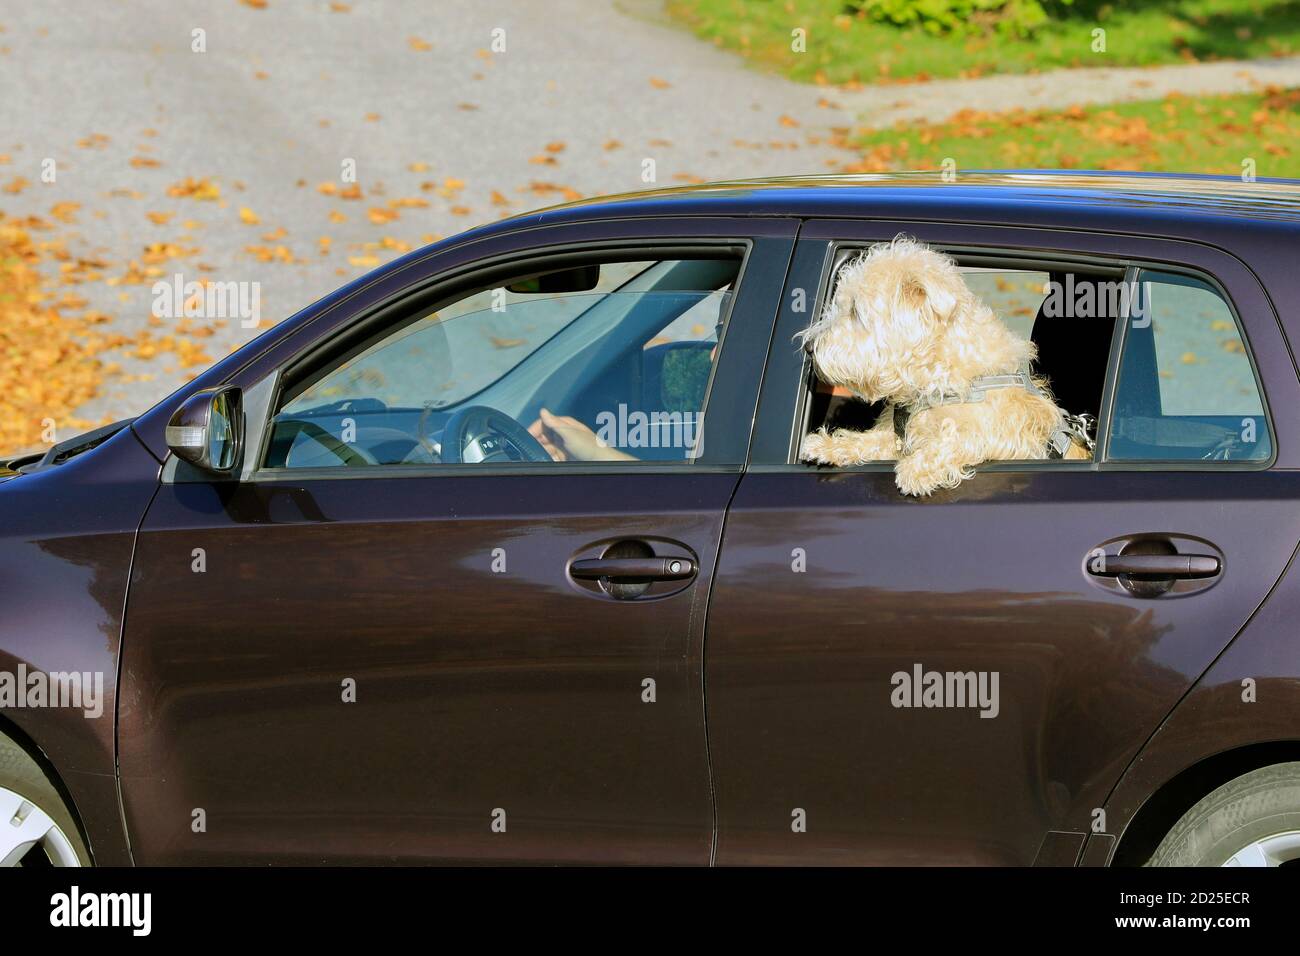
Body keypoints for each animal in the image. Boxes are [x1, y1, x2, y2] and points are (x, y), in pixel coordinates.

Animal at [800, 235, 1086, 496]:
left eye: (855, 311)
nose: (809, 347)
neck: (936, 372)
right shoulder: (898, 436)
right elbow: (869, 440)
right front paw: (827, 446)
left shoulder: (1009, 436)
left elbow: (961, 437)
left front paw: (917, 469)